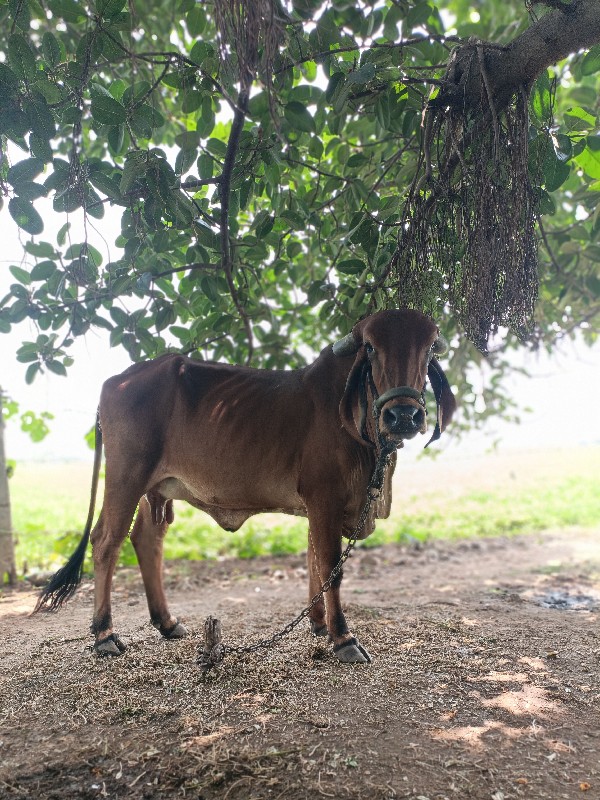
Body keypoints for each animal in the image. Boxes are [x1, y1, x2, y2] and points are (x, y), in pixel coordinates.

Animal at [35, 306, 454, 664]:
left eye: (429, 348)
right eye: (370, 347)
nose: (404, 415)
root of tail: (116, 381)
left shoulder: (318, 506)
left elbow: (314, 561)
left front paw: (318, 624)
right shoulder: (324, 498)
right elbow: (331, 566)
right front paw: (343, 638)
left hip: (157, 487)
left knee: (147, 541)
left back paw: (167, 623)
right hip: (127, 476)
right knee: (106, 540)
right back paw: (104, 634)